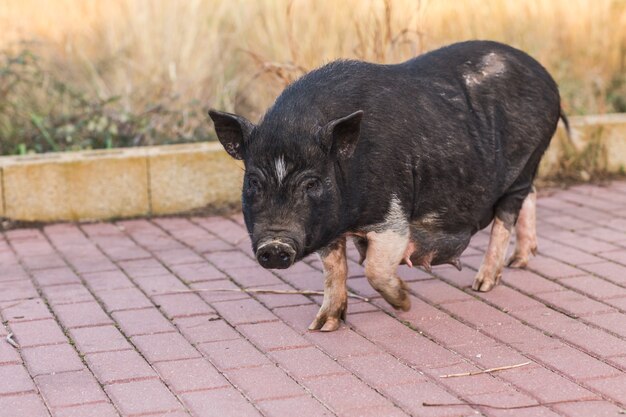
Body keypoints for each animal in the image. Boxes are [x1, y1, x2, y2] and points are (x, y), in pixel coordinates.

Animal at [208, 40, 564, 330]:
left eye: (311, 183)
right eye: (253, 181)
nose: (274, 246)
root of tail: (544, 73)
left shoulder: (392, 214)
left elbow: (375, 269)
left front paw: (404, 302)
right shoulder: (327, 225)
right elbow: (334, 270)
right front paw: (322, 326)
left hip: (527, 158)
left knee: (507, 213)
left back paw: (483, 284)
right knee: (530, 195)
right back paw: (520, 261)